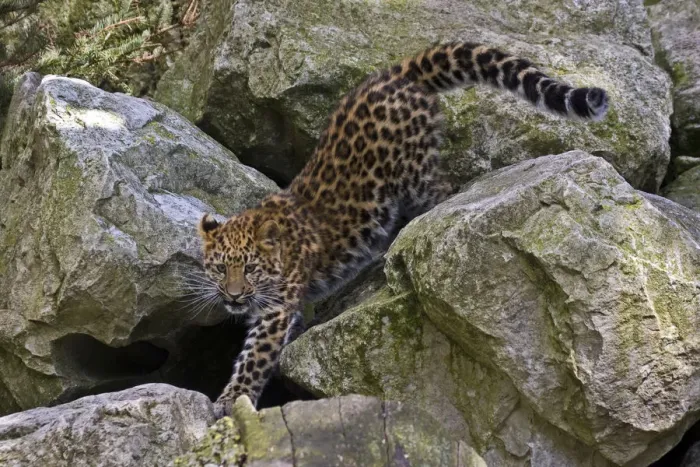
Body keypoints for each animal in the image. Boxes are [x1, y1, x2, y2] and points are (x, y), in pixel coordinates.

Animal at [196, 41, 609, 417]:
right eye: (219, 268)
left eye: (250, 268)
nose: (233, 296)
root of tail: (397, 73)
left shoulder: (276, 309)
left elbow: (254, 357)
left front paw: (231, 399)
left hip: (414, 178)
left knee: (445, 187)